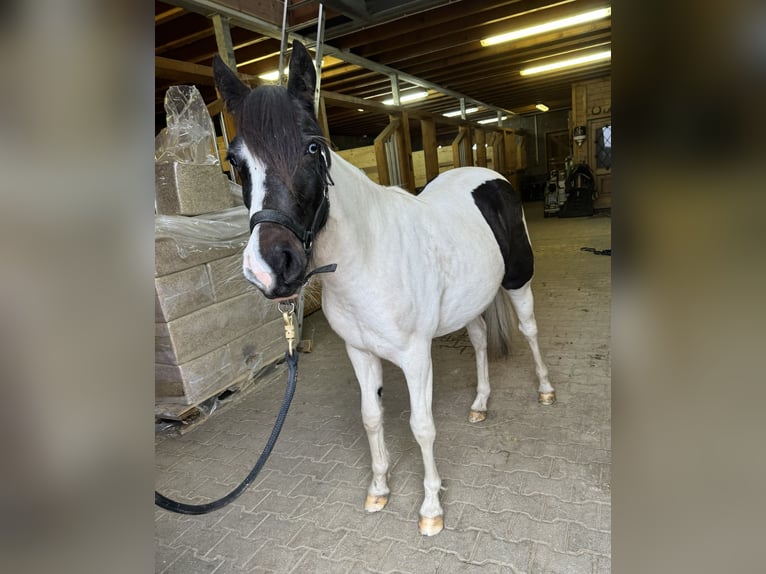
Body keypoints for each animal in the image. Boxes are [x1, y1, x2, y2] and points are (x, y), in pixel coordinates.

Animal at [213, 41, 556, 540]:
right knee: (477, 343)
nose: (271, 267)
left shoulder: (415, 357)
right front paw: (378, 489)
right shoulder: (360, 352)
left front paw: (431, 509)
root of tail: (489, 176)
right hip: (471, 303)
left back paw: (546, 390)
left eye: (313, 146)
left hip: (518, 282)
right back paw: (479, 404)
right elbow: (371, 417)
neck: (368, 260)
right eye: (236, 163)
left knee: (529, 331)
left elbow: (421, 426)